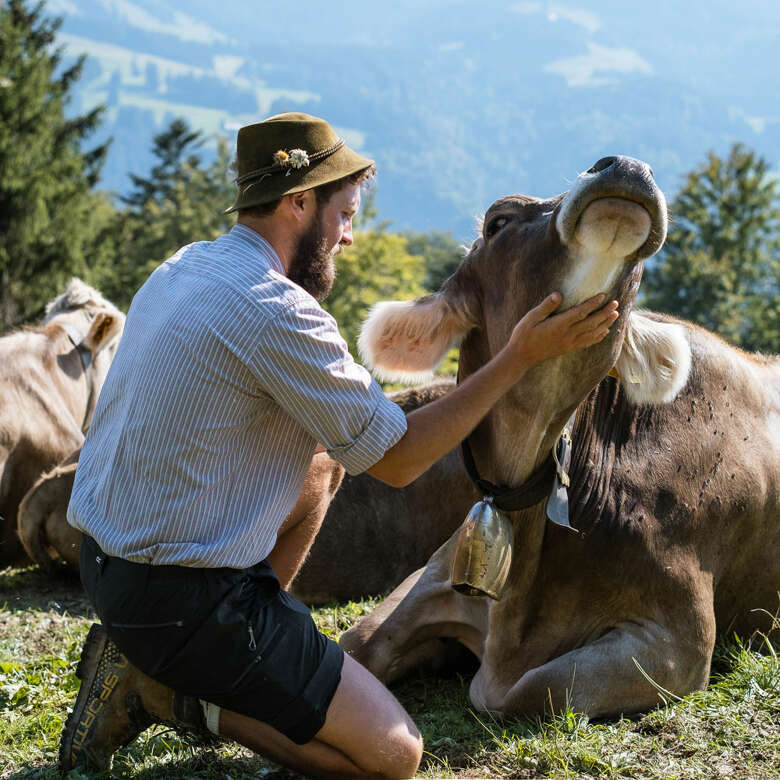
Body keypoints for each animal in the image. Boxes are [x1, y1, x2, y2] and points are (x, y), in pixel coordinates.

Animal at [340, 155, 780, 724]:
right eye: (499, 221)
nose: (627, 165)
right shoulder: (433, 573)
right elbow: (356, 642)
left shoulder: (679, 639)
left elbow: (527, 689)